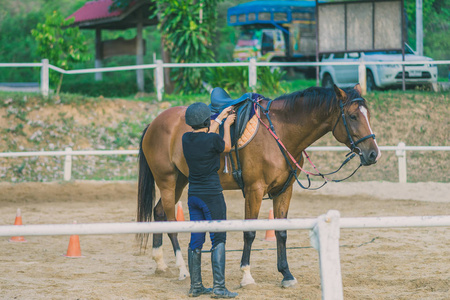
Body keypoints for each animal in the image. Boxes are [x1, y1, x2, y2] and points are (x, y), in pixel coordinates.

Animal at [136, 84, 380, 288]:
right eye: (353, 116)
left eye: (368, 115)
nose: (373, 154)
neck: (280, 132)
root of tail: (154, 123)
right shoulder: (254, 190)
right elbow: (250, 232)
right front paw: (246, 275)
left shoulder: (284, 190)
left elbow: (281, 232)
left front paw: (286, 274)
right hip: (167, 181)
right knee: (170, 220)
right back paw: (182, 269)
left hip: (181, 180)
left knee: (158, 212)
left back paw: (160, 263)